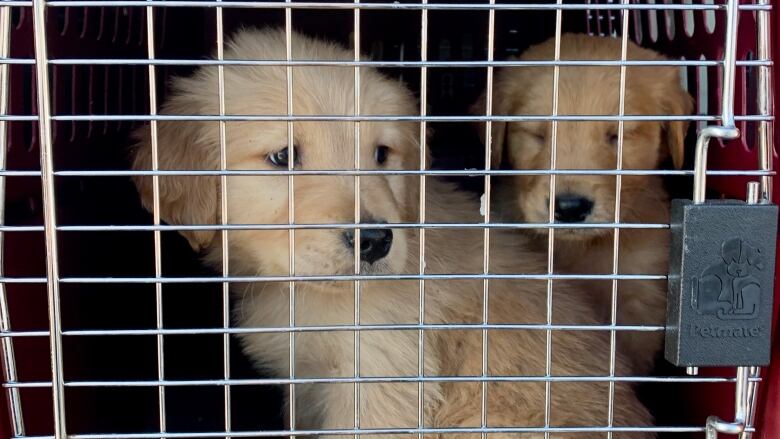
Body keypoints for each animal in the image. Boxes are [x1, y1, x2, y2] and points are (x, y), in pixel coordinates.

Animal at [134, 28, 660, 439]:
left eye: (381, 154)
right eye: (282, 156)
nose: (374, 241)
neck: (310, 296)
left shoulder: (382, 377)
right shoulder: (307, 383)